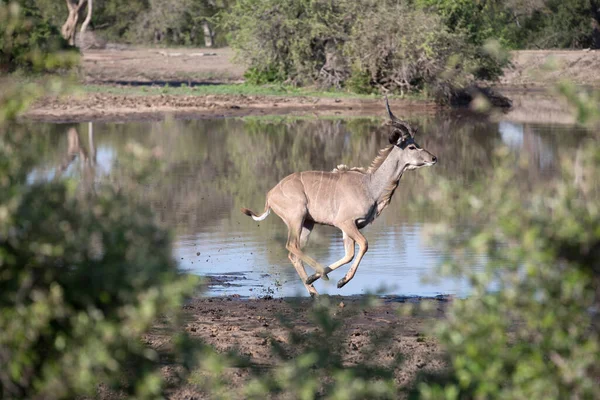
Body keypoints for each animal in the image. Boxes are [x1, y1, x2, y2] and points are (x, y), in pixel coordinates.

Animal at [241, 98, 438, 296]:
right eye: (412, 146)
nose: (434, 158)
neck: (369, 185)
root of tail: (270, 195)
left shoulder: (348, 228)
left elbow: (349, 254)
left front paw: (332, 280)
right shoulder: (345, 223)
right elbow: (364, 245)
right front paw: (341, 281)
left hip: (307, 223)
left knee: (293, 253)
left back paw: (313, 289)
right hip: (296, 218)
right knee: (291, 246)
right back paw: (320, 276)